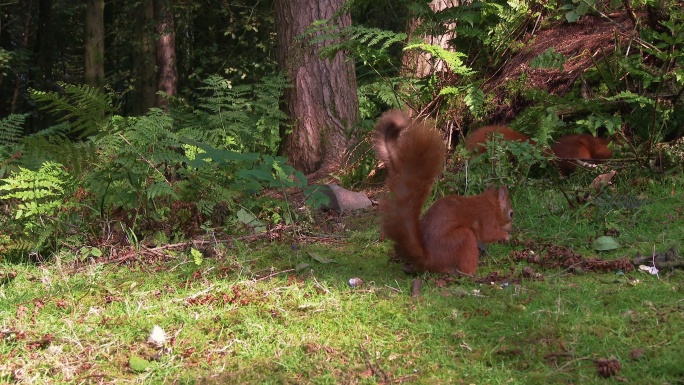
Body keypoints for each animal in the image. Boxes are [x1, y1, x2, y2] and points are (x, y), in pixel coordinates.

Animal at [374, 109, 512, 274]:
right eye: (511, 213)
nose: (512, 227)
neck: (489, 203)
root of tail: (428, 259)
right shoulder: (486, 217)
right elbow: (488, 234)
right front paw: (504, 235)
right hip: (461, 238)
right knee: (465, 261)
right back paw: (471, 273)